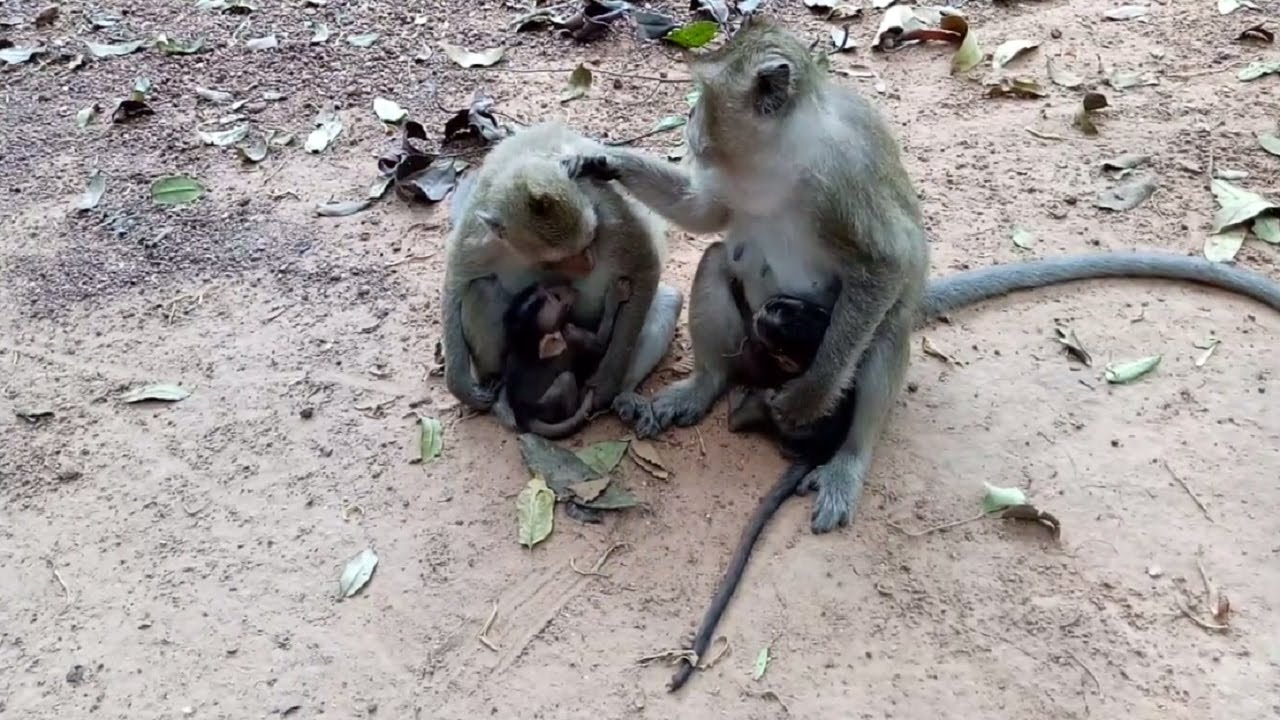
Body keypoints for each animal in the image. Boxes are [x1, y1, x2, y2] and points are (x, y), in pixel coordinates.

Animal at [499, 277, 632, 438]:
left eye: (547, 288)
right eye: (556, 298)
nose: (570, 288)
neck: (529, 344)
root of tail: (525, 415)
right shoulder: (570, 334)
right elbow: (601, 346)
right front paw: (615, 295)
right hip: (548, 407)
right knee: (566, 380)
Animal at [565, 16, 1280, 540]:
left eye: (703, 102)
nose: (687, 125)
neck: (781, 156)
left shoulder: (844, 180)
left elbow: (887, 264)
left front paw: (809, 398)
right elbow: (703, 214)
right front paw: (601, 159)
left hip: (851, 336)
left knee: (880, 335)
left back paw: (846, 459)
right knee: (719, 260)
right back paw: (705, 387)